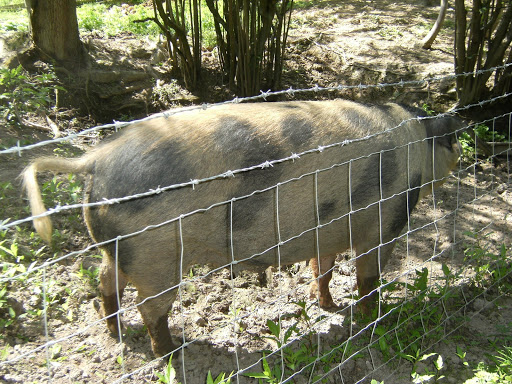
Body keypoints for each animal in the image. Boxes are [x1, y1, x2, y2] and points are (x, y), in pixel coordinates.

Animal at [22, 100, 462, 356]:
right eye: (453, 143)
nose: (457, 151)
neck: (419, 145)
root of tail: (94, 159)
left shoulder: (328, 227)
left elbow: (323, 268)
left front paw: (330, 308)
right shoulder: (386, 222)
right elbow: (369, 278)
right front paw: (374, 319)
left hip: (117, 248)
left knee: (105, 283)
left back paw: (116, 335)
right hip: (155, 256)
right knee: (150, 308)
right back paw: (172, 352)